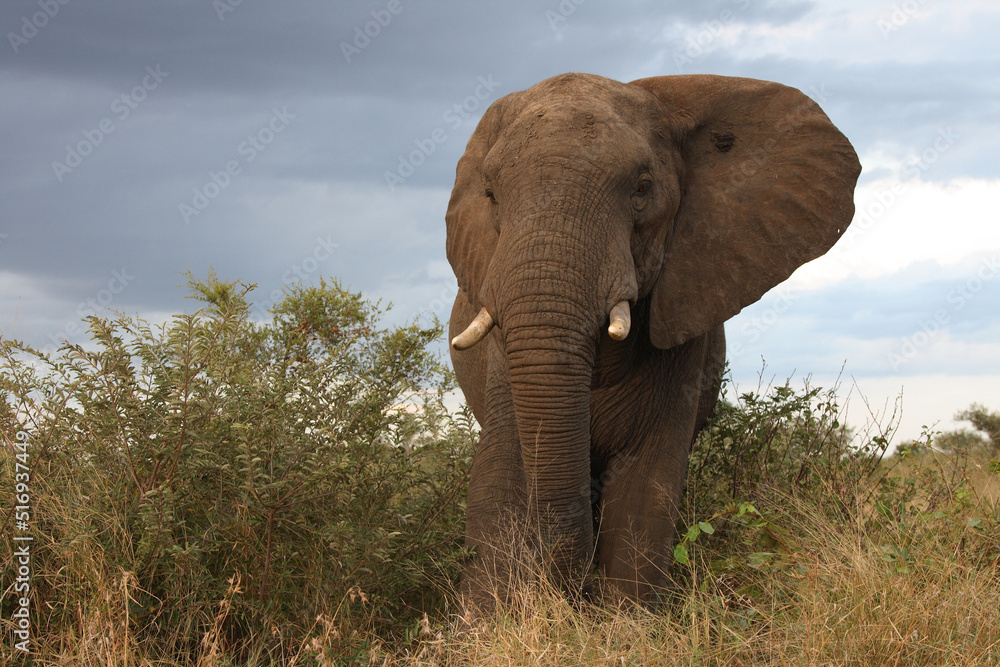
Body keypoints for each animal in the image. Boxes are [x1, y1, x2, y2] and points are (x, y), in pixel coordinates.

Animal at [445, 72, 860, 608]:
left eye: (642, 189)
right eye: (491, 194)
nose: (572, 596)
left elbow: (644, 493)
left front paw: (628, 622)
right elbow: (499, 481)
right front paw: (489, 618)